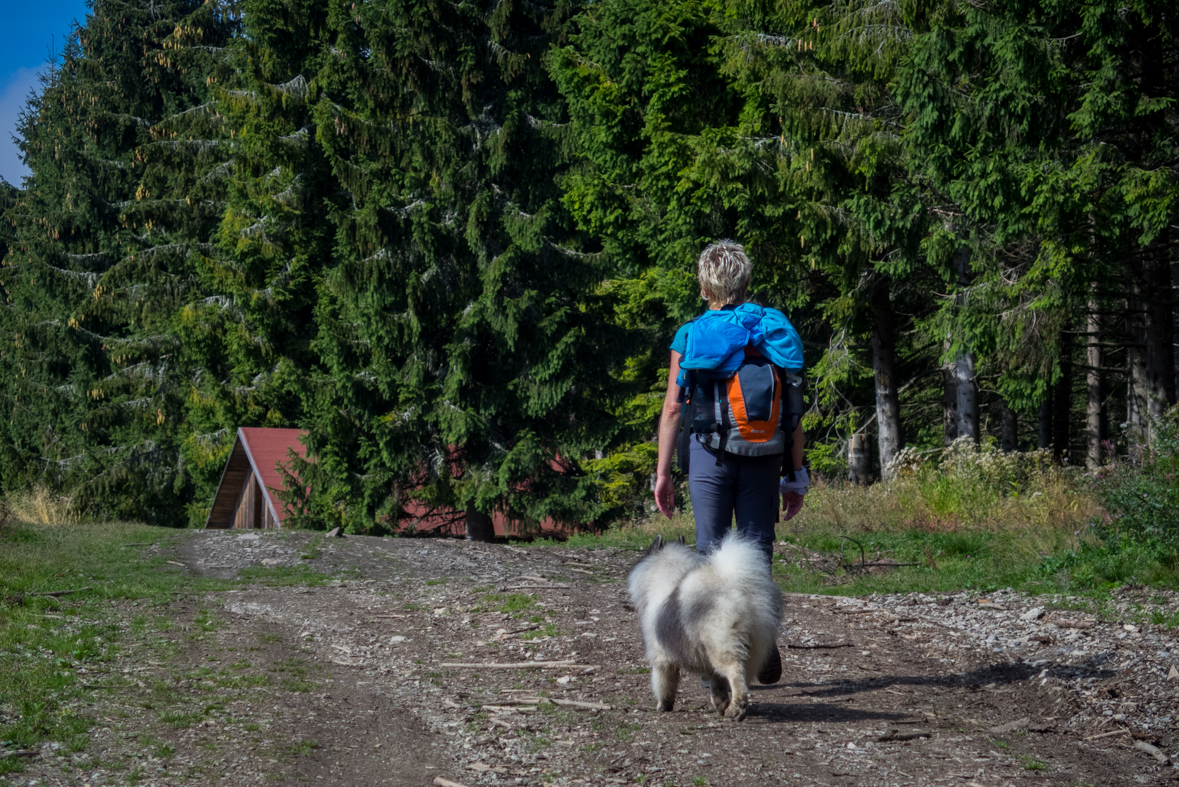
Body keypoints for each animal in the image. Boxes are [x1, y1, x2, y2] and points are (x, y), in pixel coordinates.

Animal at [627, 534, 782, 721]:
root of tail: (737, 591)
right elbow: (717, 684)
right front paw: (720, 703)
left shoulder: (661, 656)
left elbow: (664, 683)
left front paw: (663, 706)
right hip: (752, 648)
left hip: (722, 647)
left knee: (735, 674)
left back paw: (736, 709)